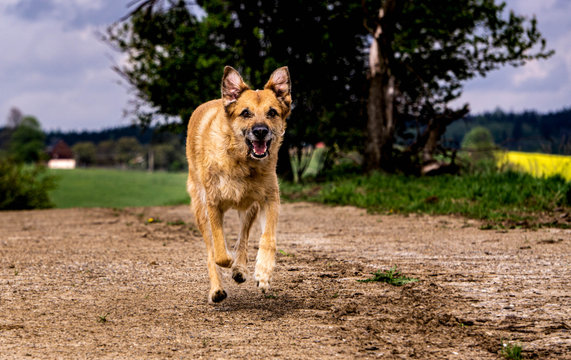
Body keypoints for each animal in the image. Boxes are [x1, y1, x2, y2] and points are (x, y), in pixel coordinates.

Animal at [187, 66, 292, 302]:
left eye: (272, 112)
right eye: (246, 113)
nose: (260, 131)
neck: (242, 162)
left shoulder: (270, 199)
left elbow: (267, 239)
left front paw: (263, 272)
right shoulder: (213, 204)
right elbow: (218, 250)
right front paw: (227, 262)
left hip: (249, 208)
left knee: (243, 238)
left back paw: (240, 268)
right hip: (199, 208)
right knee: (211, 249)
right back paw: (217, 289)